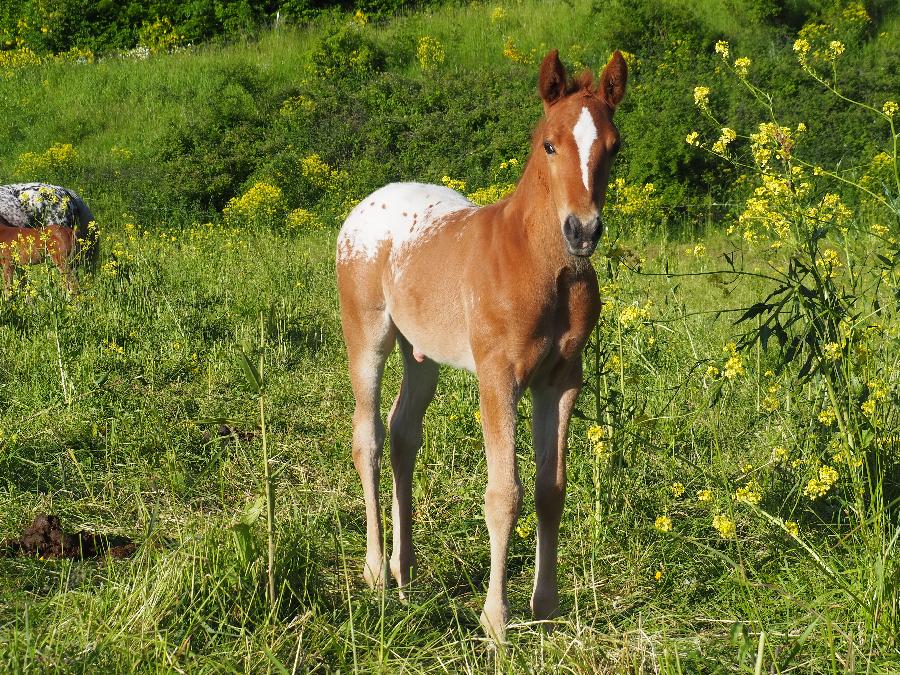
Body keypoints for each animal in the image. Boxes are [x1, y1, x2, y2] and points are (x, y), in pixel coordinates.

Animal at [336, 49, 627, 640]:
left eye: (613, 146)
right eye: (550, 144)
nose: (583, 231)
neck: (543, 267)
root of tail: (363, 208)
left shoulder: (560, 382)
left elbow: (550, 490)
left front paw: (545, 607)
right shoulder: (499, 377)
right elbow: (503, 494)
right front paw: (496, 621)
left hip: (421, 354)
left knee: (403, 435)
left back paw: (406, 572)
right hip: (368, 337)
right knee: (368, 438)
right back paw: (376, 572)